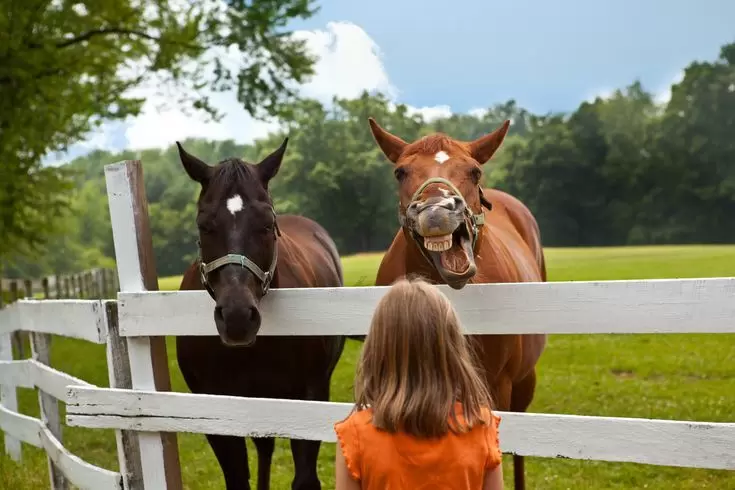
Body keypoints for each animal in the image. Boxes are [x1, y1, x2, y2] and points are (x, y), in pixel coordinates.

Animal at [174, 139, 346, 490]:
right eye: (204, 224)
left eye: (267, 224)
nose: (237, 317)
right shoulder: (215, 410)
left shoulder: (309, 396)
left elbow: (304, 479)